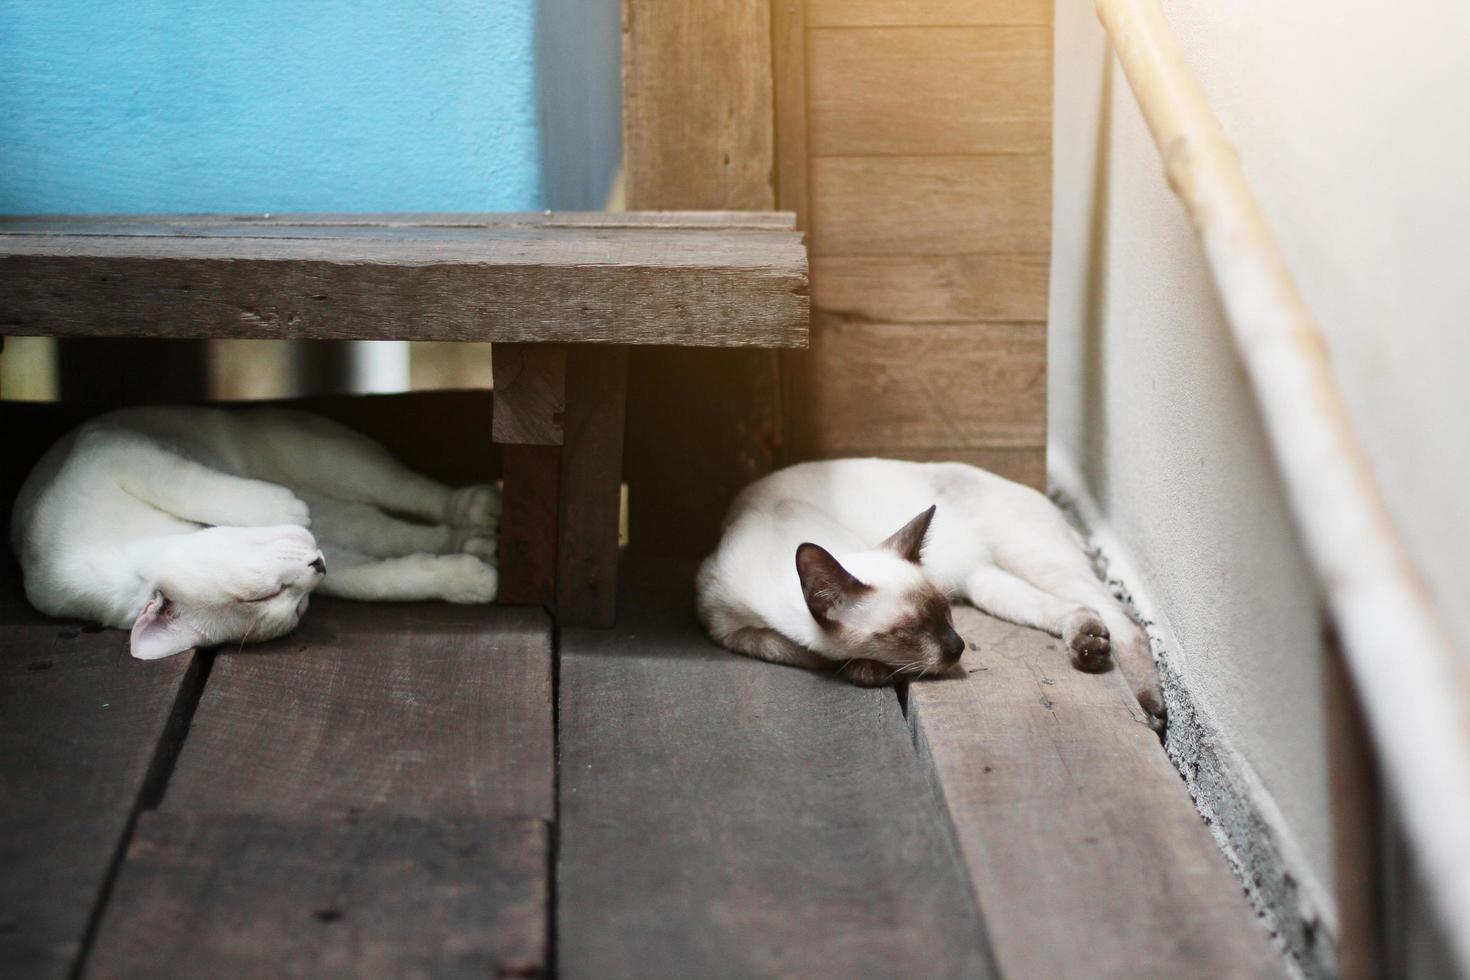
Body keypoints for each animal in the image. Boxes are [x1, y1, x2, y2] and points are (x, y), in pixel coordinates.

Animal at [10, 402, 505, 664]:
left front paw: (276, 504)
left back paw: (480, 504)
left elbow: (191, 485)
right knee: (399, 534)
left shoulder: (119, 451)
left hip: (334, 458)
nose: (318, 563)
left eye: (259, 594)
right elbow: (381, 581)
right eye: (291, 603)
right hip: (348, 511)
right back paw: (478, 548)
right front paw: (466, 578)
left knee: (419, 492)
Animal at [693, 461, 1164, 728]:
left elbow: (818, 653)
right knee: (1074, 609)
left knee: (1123, 620)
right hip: (985, 582)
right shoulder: (730, 631)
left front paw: (867, 670)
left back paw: (1147, 708)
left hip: (1032, 560)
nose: (958, 646)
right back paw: (1090, 647)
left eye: (946, 615)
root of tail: (1044, 499)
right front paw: (867, 669)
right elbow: (798, 649)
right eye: (912, 629)